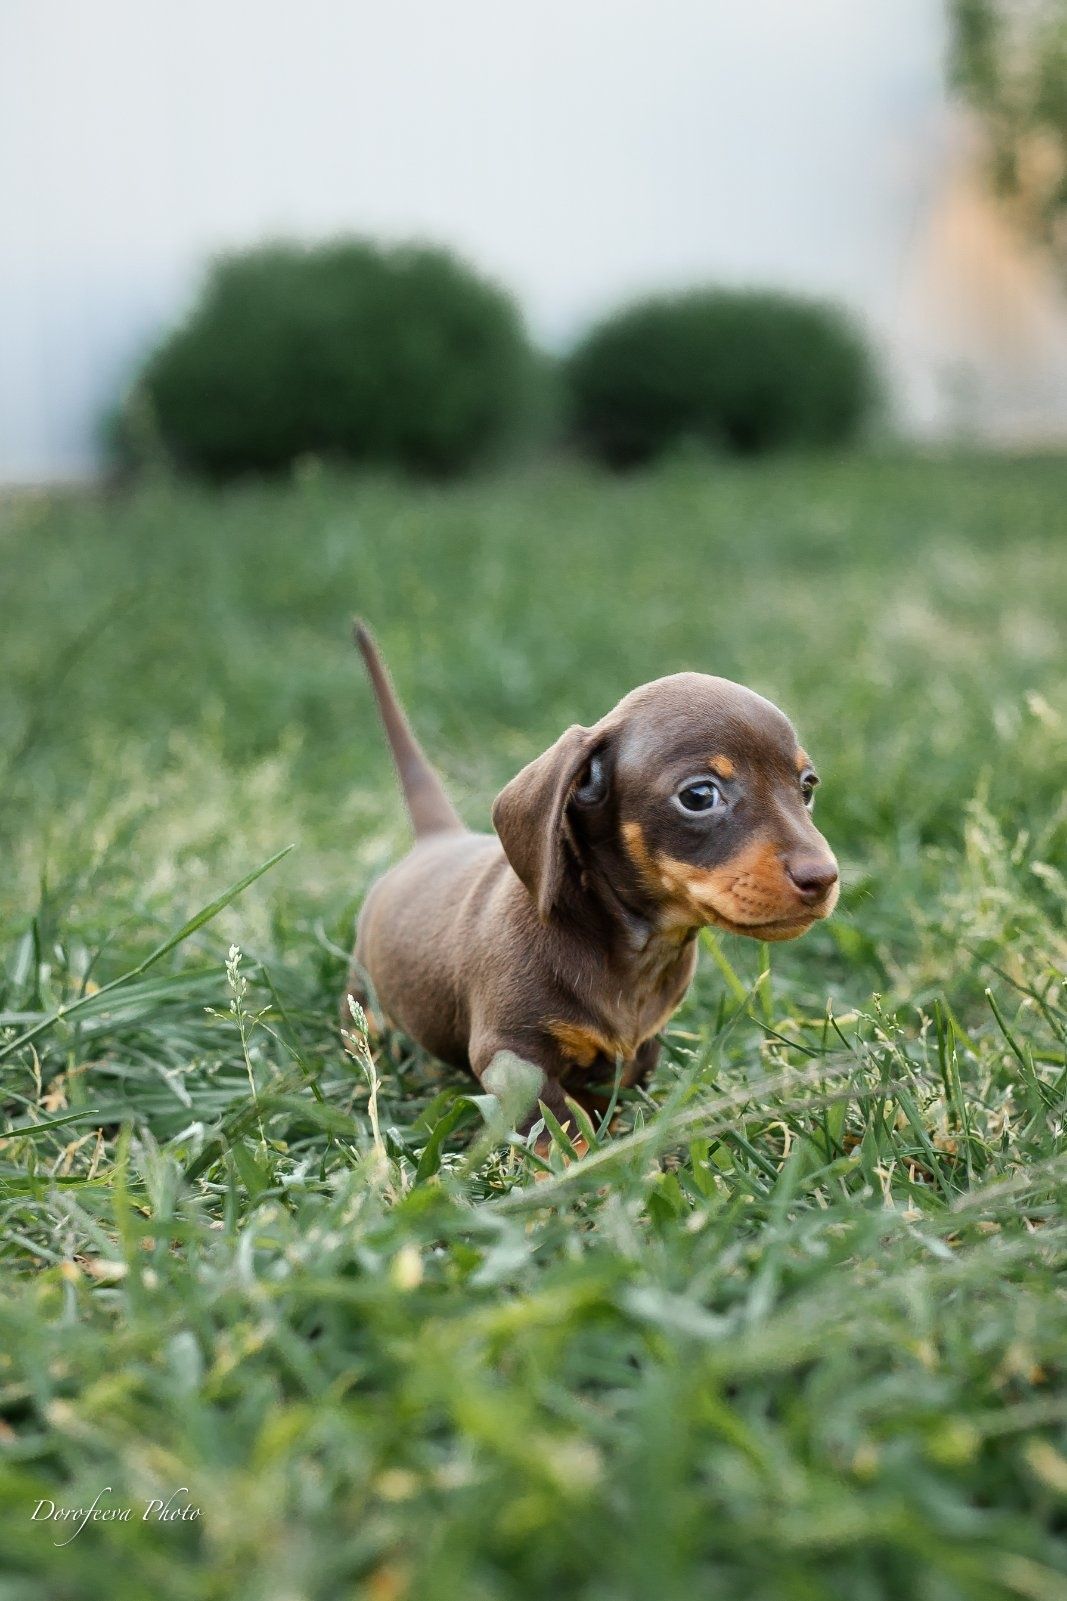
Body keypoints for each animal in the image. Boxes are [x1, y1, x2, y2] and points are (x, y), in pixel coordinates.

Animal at [344, 624, 833, 1139]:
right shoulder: (512, 1058)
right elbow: (556, 1124)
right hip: (362, 989)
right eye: (699, 796)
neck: (632, 946)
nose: (824, 877)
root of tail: (436, 838)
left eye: (806, 787)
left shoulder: (642, 1049)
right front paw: (580, 1158)